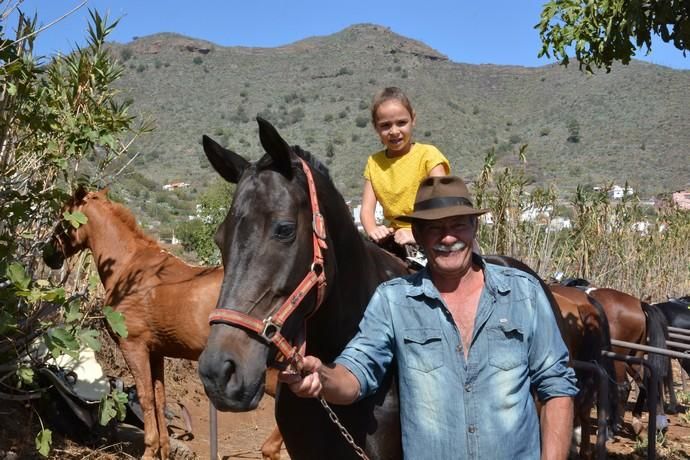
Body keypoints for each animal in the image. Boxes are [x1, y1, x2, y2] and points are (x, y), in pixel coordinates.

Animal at [42, 187, 282, 460]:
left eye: (64, 218)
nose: (49, 255)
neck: (130, 268)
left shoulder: (134, 347)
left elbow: (145, 397)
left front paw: (149, 450)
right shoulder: (157, 352)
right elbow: (160, 399)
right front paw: (163, 450)